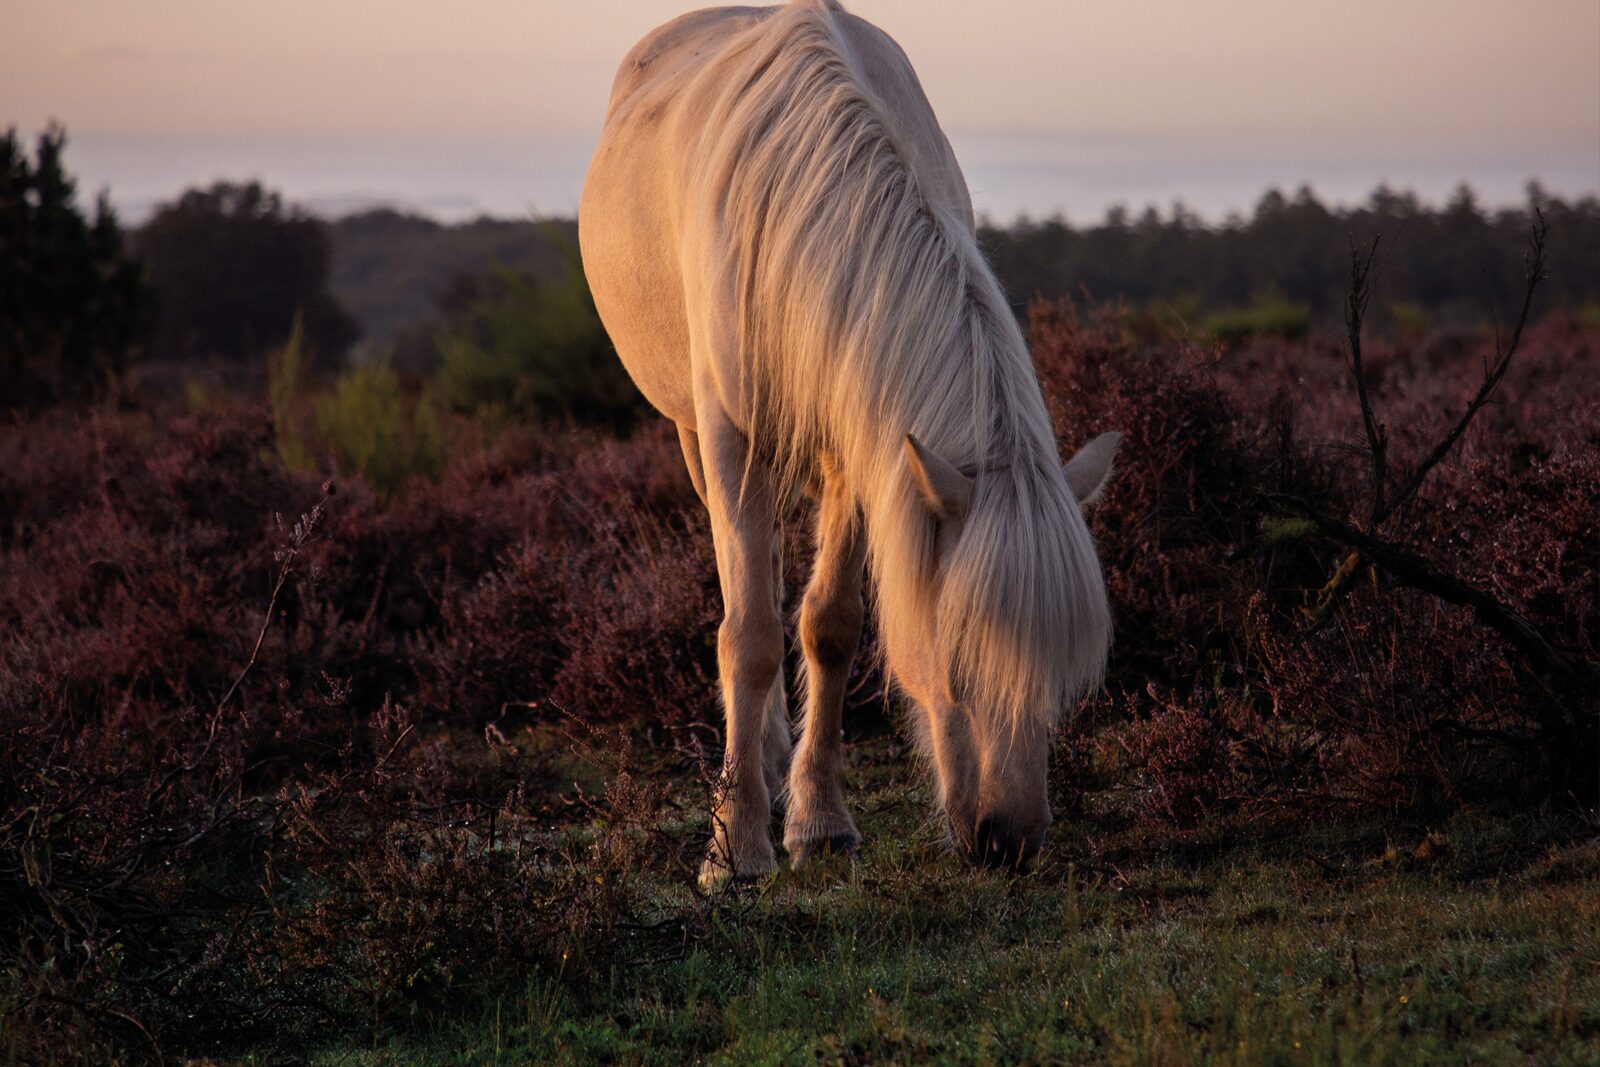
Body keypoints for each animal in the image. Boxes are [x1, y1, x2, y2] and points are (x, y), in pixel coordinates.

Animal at [582, 0, 1120, 883]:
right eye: (959, 657)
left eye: (1060, 668)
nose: (1010, 840)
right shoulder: (732, 434)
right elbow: (751, 635)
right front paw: (735, 847)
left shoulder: (861, 446)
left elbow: (829, 624)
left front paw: (819, 824)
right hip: (695, 434)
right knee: (740, 591)